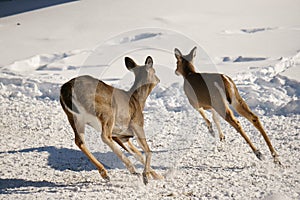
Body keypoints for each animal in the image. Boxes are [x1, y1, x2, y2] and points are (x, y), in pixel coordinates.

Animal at [60, 55, 164, 184]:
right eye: (154, 71)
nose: (159, 79)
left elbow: (138, 154)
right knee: (104, 136)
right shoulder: (137, 123)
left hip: (74, 117)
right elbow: (148, 151)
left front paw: (157, 176)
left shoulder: (122, 136)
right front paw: (146, 176)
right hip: (106, 112)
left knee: (80, 141)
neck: (137, 99)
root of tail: (67, 88)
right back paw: (131, 169)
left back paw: (105, 173)